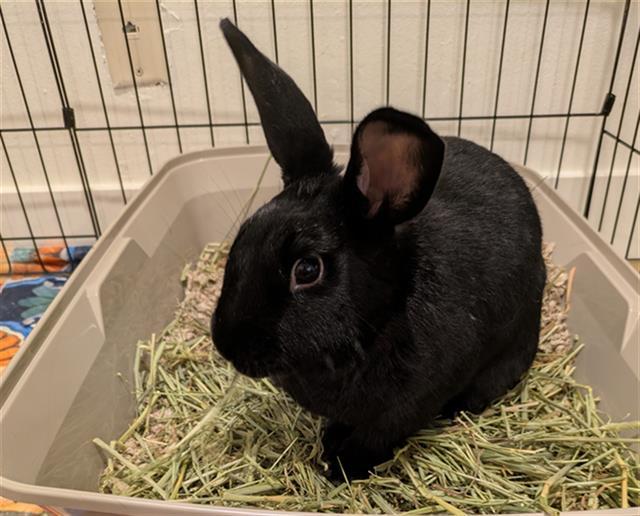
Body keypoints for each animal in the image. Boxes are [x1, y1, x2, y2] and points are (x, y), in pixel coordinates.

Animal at [212, 18, 546, 480]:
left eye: (307, 269)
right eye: (242, 240)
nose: (226, 345)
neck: (381, 317)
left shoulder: (408, 405)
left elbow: (375, 437)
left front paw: (340, 467)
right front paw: (329, 442)